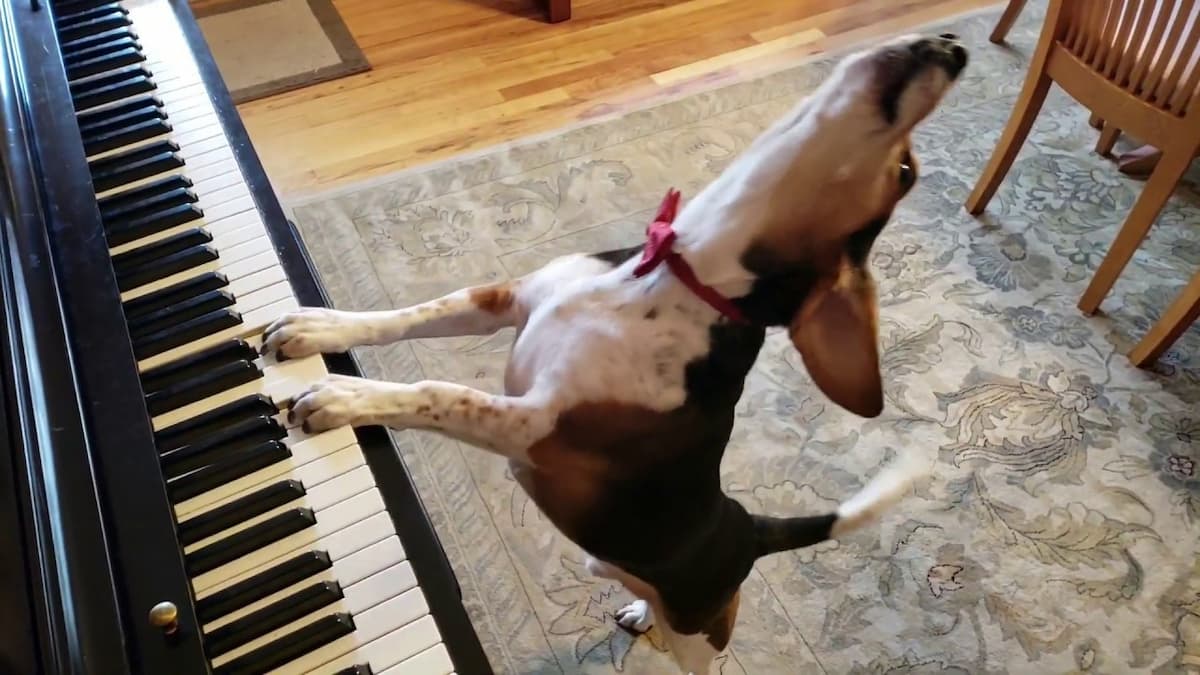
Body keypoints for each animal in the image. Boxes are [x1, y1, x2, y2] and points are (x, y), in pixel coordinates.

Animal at [262, 34, 964, 672]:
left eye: (908, 174)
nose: (955, 46)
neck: (669, 273)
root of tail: (750, 529)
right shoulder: (505, 300)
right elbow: (406, 318)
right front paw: (316, 330)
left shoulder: (535, 425)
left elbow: (441, 393)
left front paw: (344, 397)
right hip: (610, 563)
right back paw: (637, 611)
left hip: (702, 631)